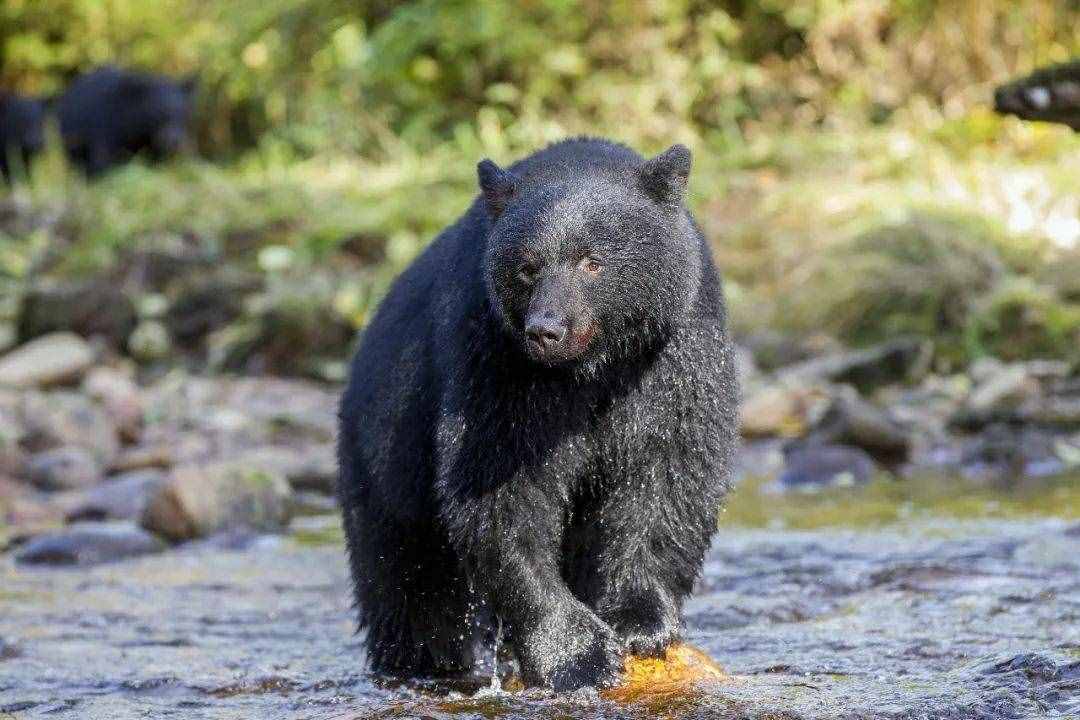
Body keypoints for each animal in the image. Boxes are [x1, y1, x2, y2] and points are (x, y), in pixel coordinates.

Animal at [56, 66, 197, 177]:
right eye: (160, 112)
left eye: (182, 112)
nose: (174, 142)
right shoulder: (106, 126)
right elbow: (103, 161)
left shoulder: (151, 143)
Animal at [341, 136, 738, 690]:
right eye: (527, 267)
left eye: (592, 261)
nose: (545, 330)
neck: (590, 369)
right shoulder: (495, 359)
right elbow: (500, 487)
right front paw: (577, 653)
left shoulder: (674, 351)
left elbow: (668, 469)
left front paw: (640, 622)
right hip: (386, 462)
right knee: (410, 590)